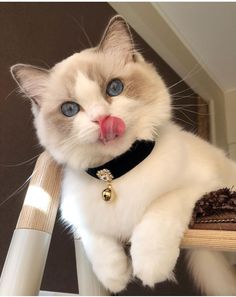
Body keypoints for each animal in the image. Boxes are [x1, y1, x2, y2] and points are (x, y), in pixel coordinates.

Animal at [10, 15, 235, 294]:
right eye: (70, 109)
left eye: (114, 88)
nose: (102, 119)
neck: (116, 174)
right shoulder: (77, 215)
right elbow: (95, 238)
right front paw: (114, 275)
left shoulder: (206, 187)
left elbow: (159, 210)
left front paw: (149, 265)